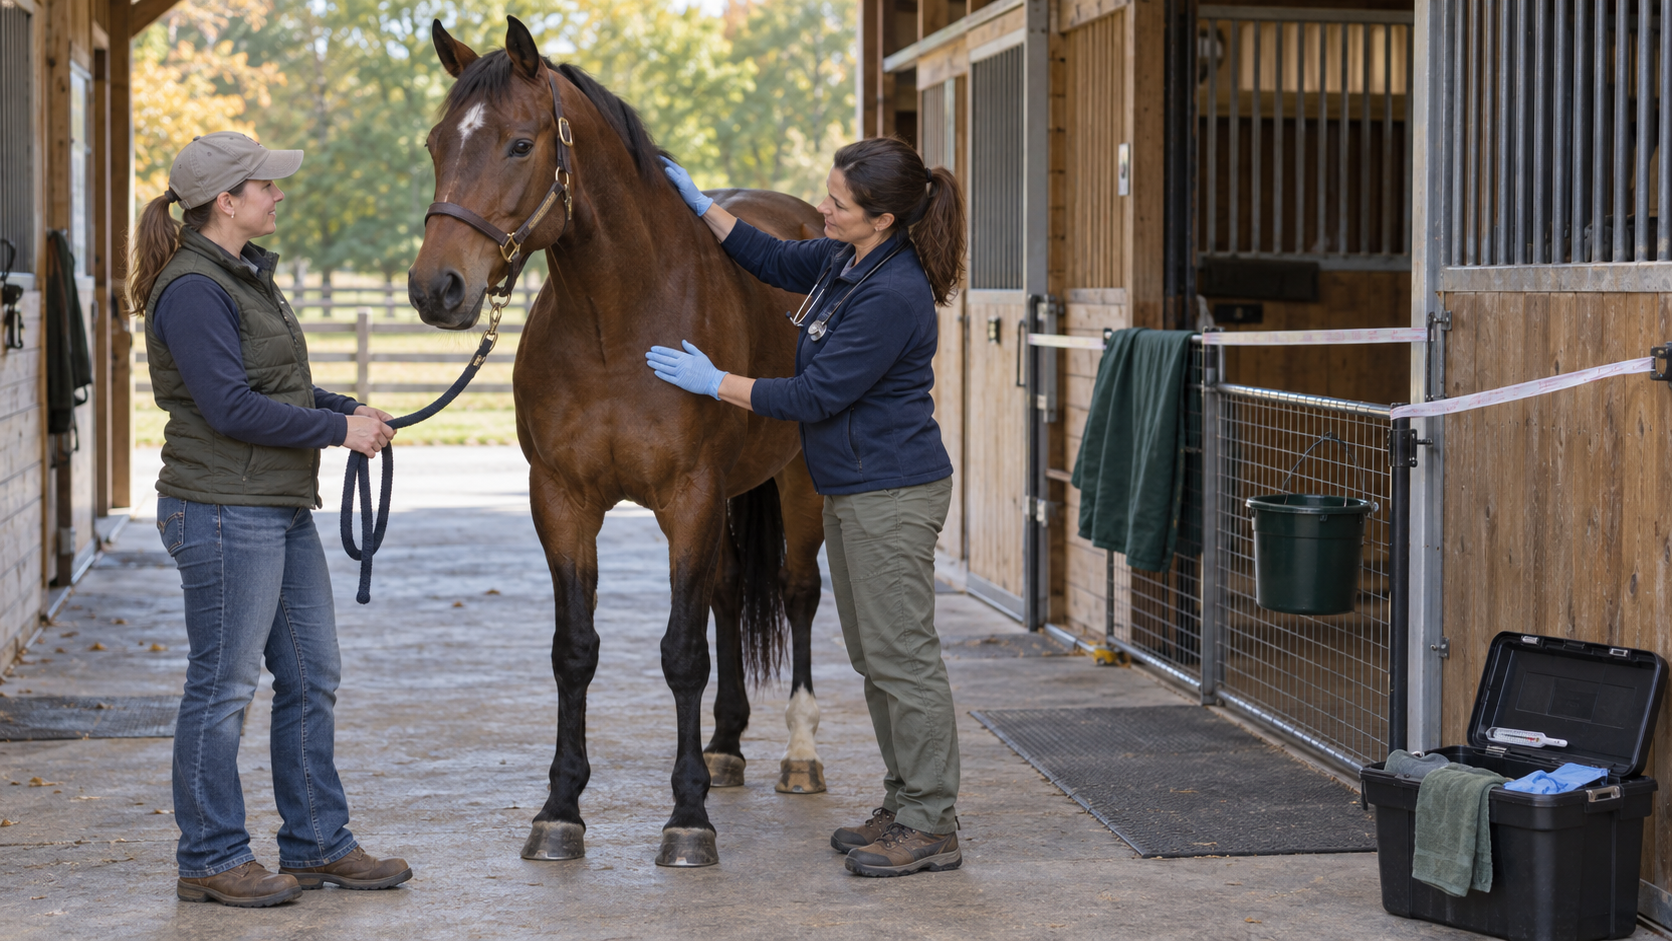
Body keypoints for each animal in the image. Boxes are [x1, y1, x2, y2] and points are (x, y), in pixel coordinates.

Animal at [407, 16, 831, 868]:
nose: (437, 288)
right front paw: (560, 809)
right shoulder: (562, 501)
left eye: (520, 144)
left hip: (797, 481)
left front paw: (687, 819)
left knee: (798, 592)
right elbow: (576, 649)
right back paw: (724, 745)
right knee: (728, 593)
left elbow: (681, 651)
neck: (618, 320)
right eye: (437, 141)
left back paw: (799, 754)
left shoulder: (688, 498)